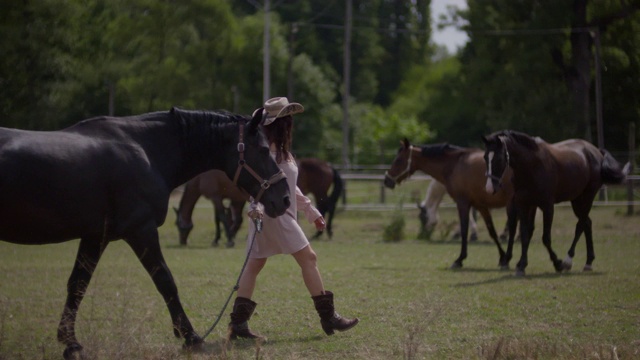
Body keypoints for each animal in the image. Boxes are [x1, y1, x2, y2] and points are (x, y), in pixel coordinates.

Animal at [0, 107, 290, 360]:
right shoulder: (141, 230)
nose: (285, 198)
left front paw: (70, 343)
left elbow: (77, 284)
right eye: (264, 149)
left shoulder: (94, 236)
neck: (145, 152)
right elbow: (165, 281)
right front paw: (191, 337)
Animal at [382, 139, 516, 268]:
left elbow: (464, 229)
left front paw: (460, 258)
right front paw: (502, 257)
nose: (387, 180)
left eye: (398, 160)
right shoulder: (480, 205)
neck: (455, 165)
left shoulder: (462, 203)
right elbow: (492, 231)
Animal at [482, 131, 628, 278]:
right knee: (587, 223)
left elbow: (546, 238)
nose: (489, 188)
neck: (532, 166)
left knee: (580, 225)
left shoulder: (547, 207)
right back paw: (588, 262)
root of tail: (597, 151)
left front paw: (558, 263)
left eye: (499, 158)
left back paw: (568, 260)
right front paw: (521, 265)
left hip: (588, 196)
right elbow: (524, 234)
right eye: (485, 157)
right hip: (577, 200)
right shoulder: (524, 204)